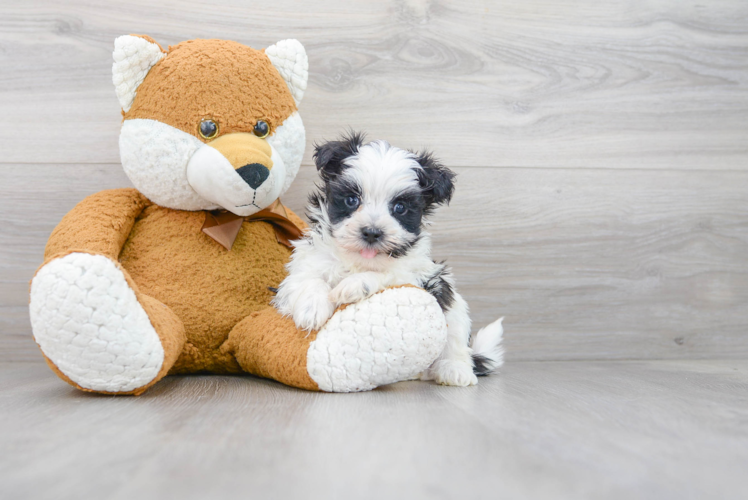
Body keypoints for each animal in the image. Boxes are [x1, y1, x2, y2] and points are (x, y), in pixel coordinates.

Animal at [272, 132, 506, 386]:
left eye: (400, 207)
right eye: (352, 200)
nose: (372, 232)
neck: (360, 259)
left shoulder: (421, 278)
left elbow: (388, 274)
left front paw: (355, 284)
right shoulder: (306, 261)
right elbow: (309, 278)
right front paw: (312, 308)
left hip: (454, 308)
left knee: (457, 341)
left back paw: (455, 370)